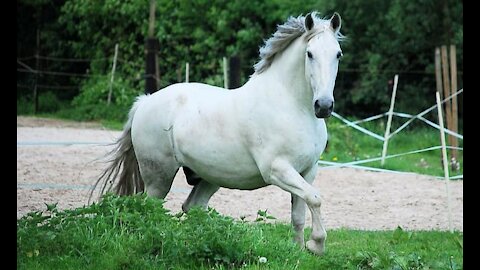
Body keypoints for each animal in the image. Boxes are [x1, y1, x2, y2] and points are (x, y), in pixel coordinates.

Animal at [92, 11, 344, 255]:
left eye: (338, 54)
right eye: (309, 54)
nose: (323, 106)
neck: (292, 106)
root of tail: (145, 102)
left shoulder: (307, 171)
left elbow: (300, 212)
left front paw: (299, 250)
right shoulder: (277, 169)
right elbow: (315, 198)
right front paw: (316, 244)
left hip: (209, 177)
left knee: (192, 207)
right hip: (158, 177)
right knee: (151, 208)